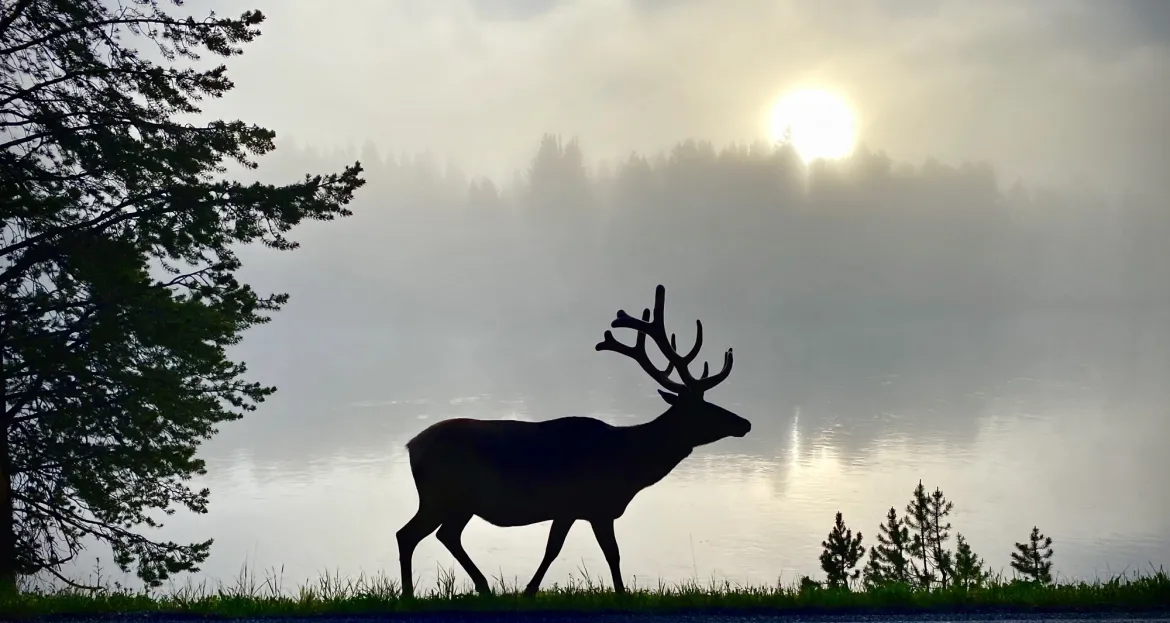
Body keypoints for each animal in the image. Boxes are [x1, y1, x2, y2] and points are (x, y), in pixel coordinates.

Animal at [395, 284, 751, 598]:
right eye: (703, 408)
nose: (744, 423)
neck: (629, 465)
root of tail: (412, 446)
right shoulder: (586, 504)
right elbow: (592, 552)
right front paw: (614, 594)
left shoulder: (583, 508)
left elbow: (575, 550)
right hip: (440, 495)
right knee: (408, 534)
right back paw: (412, 594)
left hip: (459, 503)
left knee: (445, 535)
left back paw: (481, 587)